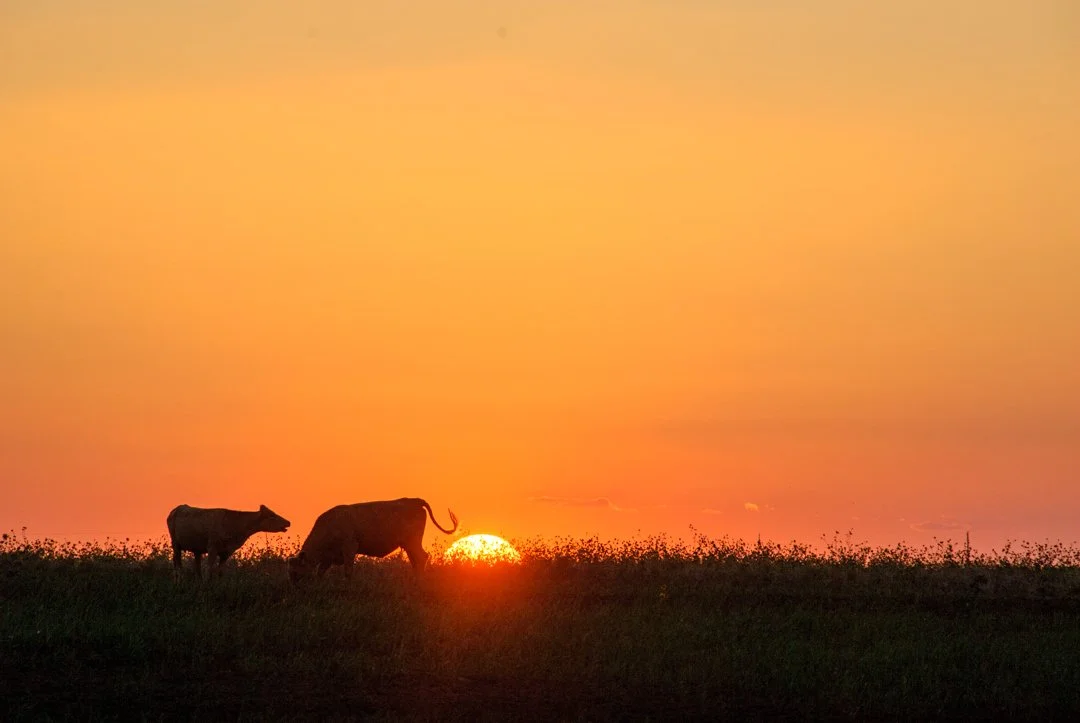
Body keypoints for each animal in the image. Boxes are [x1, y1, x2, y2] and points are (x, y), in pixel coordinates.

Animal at [288, 497, 458, 583]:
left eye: (296, 572)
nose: (294, 586)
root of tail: (414, 501)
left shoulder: (349, 547)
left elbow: (348, 570)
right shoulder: (329, 557)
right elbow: (320, 572)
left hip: (413, 541)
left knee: (422, 557)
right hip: (408, 544)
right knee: (415, 560)